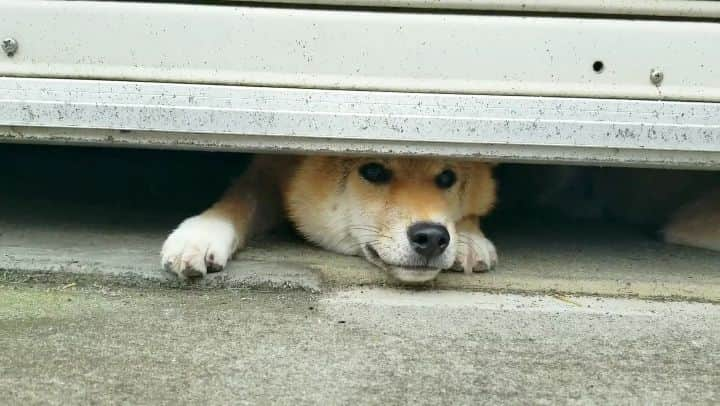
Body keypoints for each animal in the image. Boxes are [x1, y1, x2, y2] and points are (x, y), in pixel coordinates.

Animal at [160, 154, 498, 284]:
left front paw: (469, 238)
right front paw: (202, 233)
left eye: (447, 177)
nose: (432, 237)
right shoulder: (265, 173)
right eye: (373, 170)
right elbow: (240, 199)